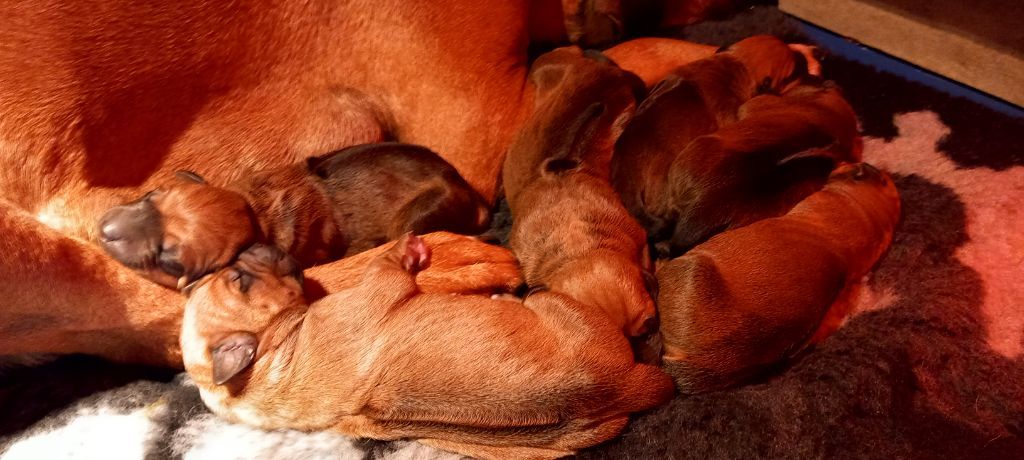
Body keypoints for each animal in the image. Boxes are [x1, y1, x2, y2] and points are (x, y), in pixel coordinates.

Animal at [97, 141, 489, 288]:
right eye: (151, 195)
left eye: (171, 263)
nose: (103, 229)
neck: (257, 212)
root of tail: (469, 192)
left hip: (417, 215)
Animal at [182, 234, 679, 456]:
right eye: (240, 280)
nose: (256, 241)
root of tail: (622, 387)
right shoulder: (373, 294)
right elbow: (386, 270)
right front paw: (408, 251)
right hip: (558, 305)